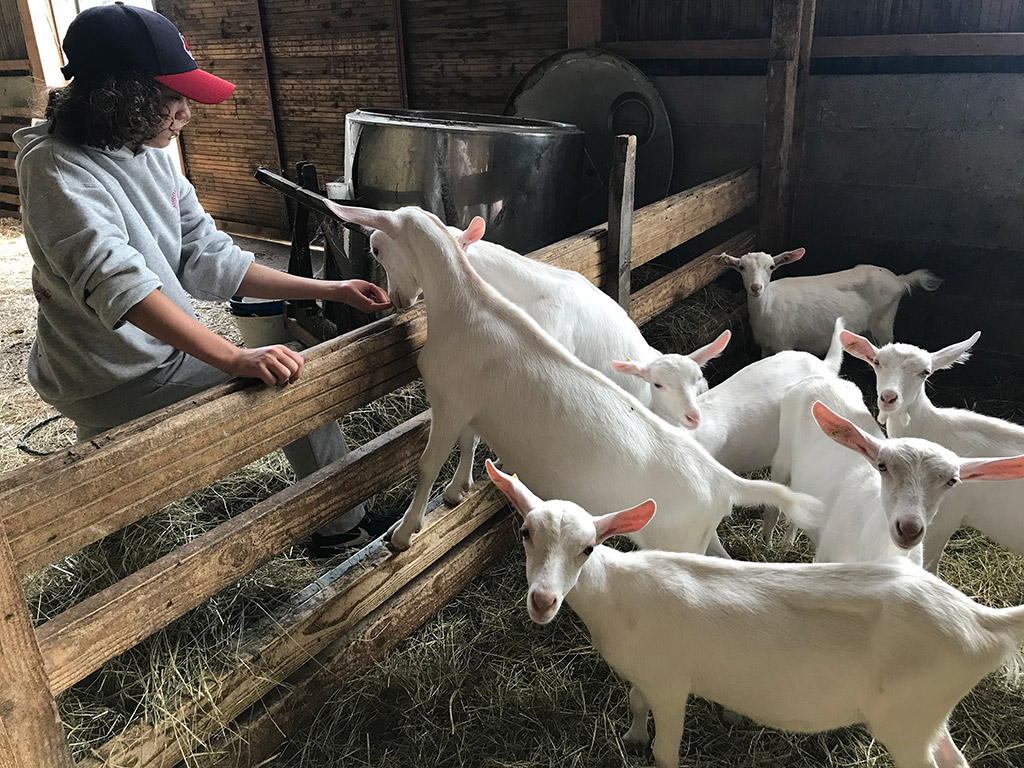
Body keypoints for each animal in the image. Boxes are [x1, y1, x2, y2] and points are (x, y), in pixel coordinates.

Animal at [724, 250, 937, 360]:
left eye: (771, 267)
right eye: (741, 267)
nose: (756, 287)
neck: (768, 306)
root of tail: (899, 280)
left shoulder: (784, 344)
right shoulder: (765, 347)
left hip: (884, 322)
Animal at [843, 331, 1024, 573]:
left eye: (925, 372)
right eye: (877, 362)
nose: (889, 397)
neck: (932, 428)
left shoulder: (941, 520)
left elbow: (928, 564)